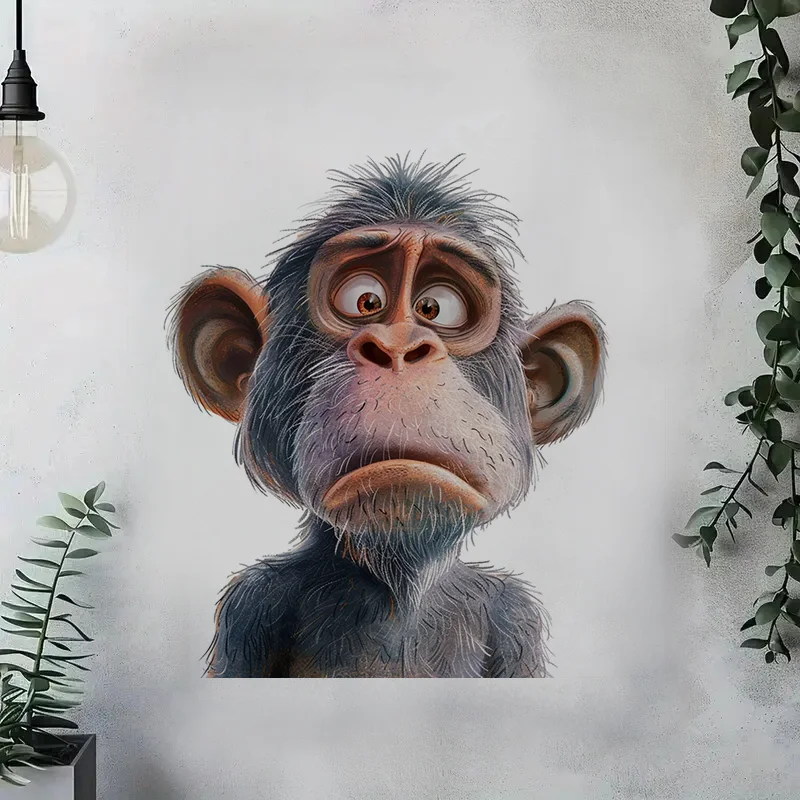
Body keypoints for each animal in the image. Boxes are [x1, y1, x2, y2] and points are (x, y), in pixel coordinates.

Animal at [167, 155, 606, 678]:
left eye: (435, 307)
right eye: (366, 300)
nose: (398, 346)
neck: (401, 591)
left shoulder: (517, 615)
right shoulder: (250, 605)